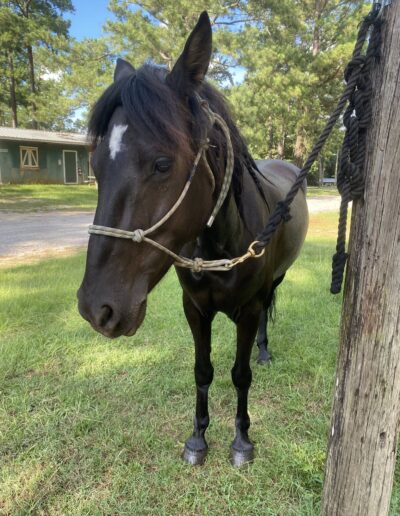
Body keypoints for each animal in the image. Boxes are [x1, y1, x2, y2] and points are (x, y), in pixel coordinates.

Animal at [77, 11, 308, 467]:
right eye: (95, 165)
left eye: (163, 163)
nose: (97, 309)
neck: (220, 247)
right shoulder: (195, 309)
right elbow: (203, 371)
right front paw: (198, 437)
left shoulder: (248, 310)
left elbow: (240, 375)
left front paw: (241, 440)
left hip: (275, 282)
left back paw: (265, 350)